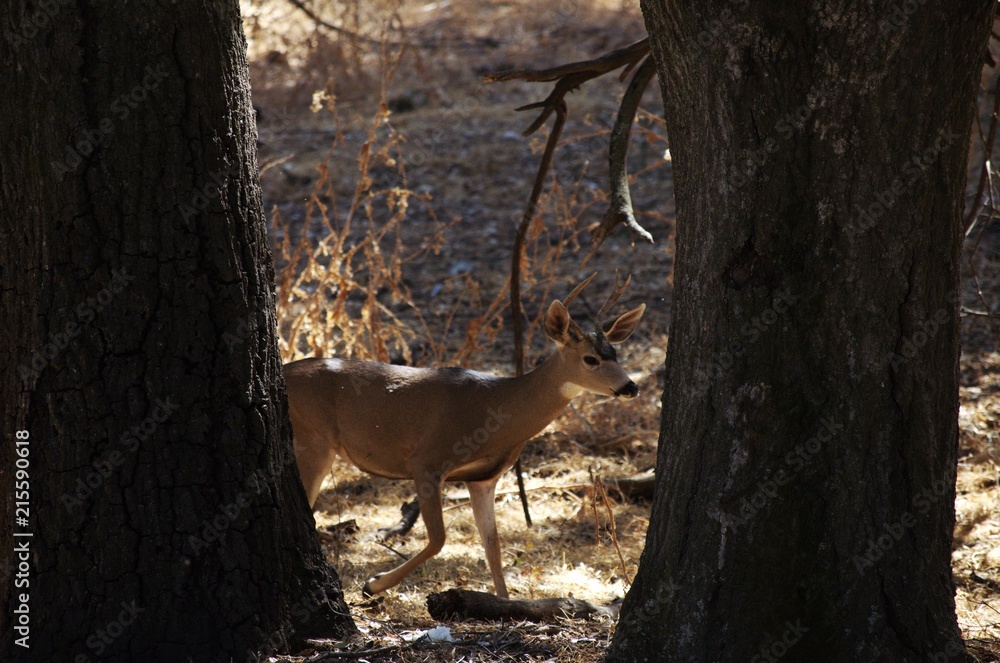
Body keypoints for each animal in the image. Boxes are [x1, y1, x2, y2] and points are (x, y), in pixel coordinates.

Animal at [284, 274, 645, 598]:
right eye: (590, 359)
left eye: (616, 354)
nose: (631, 387)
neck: (498, 409)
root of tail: (285, 370)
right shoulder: (427, 461)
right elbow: (439, 539)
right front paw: (373, 583)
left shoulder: (483, 478)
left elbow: (493, 545)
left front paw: (505, 604)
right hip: (313, 440)